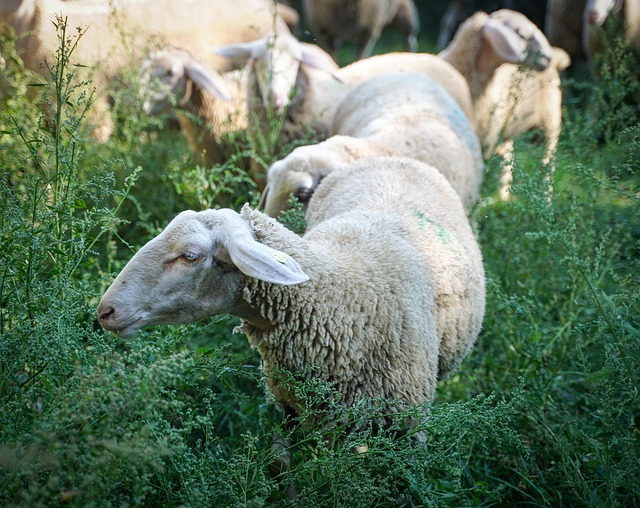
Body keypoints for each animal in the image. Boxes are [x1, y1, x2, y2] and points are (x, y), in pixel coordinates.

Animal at [440, 8, 568, 198]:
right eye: (520, 34)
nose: (548, 58)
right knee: (508, 156)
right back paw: (502, 198)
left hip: (550, 122)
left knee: (547, 163)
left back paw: (544, 199)